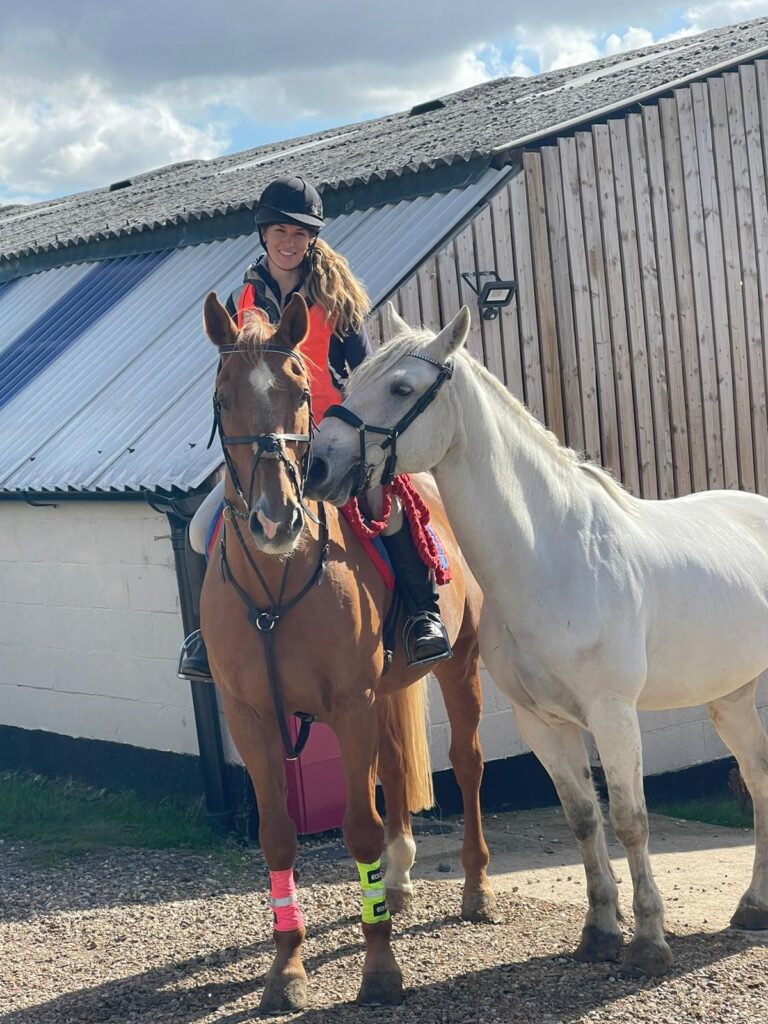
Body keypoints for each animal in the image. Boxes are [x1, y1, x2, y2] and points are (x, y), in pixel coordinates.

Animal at [201, 292, 495, 1011]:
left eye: (301, 391)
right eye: (223, 397)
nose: (276, 519)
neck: (275, 586)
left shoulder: (351, 705)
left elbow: (359, 826)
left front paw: (381, 966)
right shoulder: (250, 716)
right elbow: (277, 834)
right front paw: (286, 970)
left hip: (459, 665)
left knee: (466, 764)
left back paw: (474, 888)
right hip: (389, 691)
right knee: (394, 769)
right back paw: (397, 881)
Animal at [309, 301, 768, 974]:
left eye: (401, 388)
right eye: (348, 385)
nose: (318, 465)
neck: (551, 553)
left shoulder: (612, 713)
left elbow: (630, 819)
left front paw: (649, 942)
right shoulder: (541, 722)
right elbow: (583, 819)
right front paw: (600, 933)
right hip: (731, 696)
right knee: (759, 777)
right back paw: (754, 906)